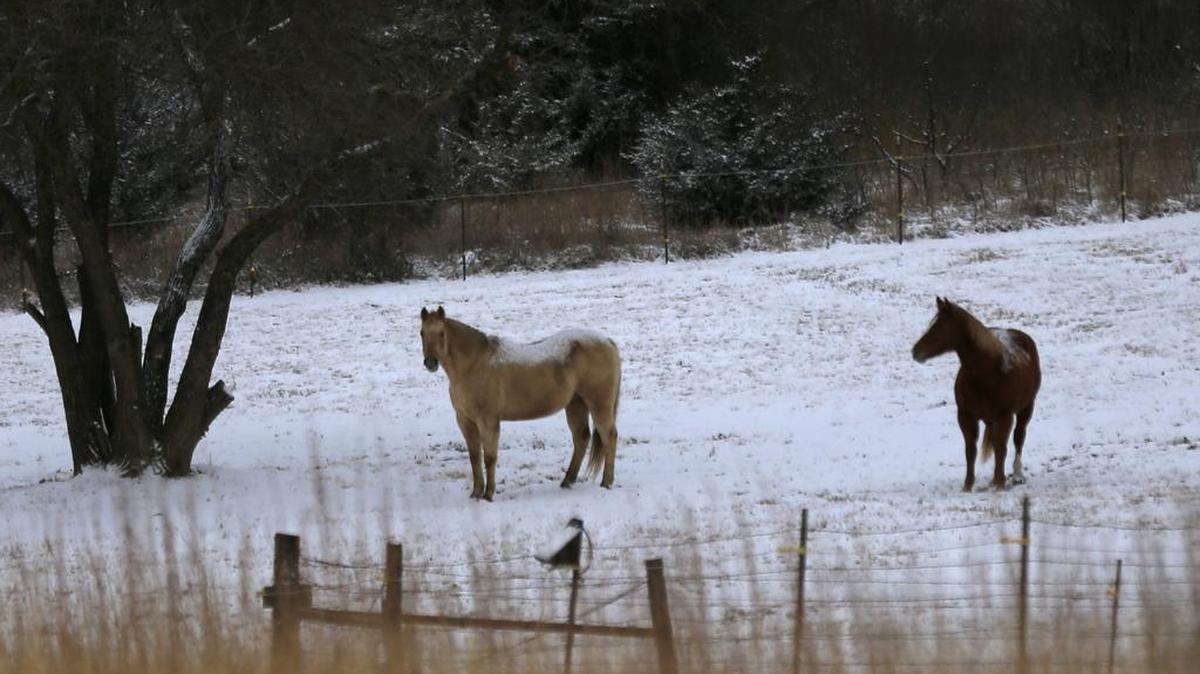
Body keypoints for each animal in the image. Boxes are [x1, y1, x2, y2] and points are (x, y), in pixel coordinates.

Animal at [419, 306, 622, 501]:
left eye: (441, 333)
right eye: (422, 332)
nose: (430, 363)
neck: (474, 364)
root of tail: (608, 341)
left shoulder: (488, 421)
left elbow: (489, 458)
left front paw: (488, 495)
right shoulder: (465, 421)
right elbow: (474, 457)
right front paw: (475, 494)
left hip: (599, 404)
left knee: (609, 437)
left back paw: (606, 482)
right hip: (575, 405)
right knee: (581, 438)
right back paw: (567, 482)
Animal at [911, 297, 1041, 492]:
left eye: (938, 327)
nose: (915, 351)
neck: (986, 373)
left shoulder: (1005, 416)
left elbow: (1002, 448)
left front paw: (999, 483)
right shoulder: (965, 416)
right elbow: (971, 451)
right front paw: (968, 485)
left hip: (1025, 409)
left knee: (1019, 438)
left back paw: (1017, 475)